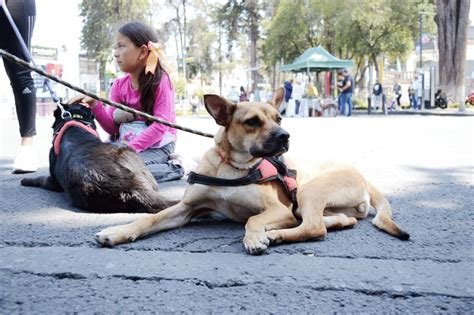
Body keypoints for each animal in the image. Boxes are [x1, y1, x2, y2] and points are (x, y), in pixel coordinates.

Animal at [94, 87, 410, 256]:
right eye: (252, 122)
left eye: (279, 118)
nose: (285, 136)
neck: (231, 167)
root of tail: (364, 178)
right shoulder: (186, 208)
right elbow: (150, 219)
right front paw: (119, 231)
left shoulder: (278, 209)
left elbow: (252, 220)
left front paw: (255, 236)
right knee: (341, 221)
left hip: (306, 192)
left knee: (314, 227)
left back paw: (277, 235)